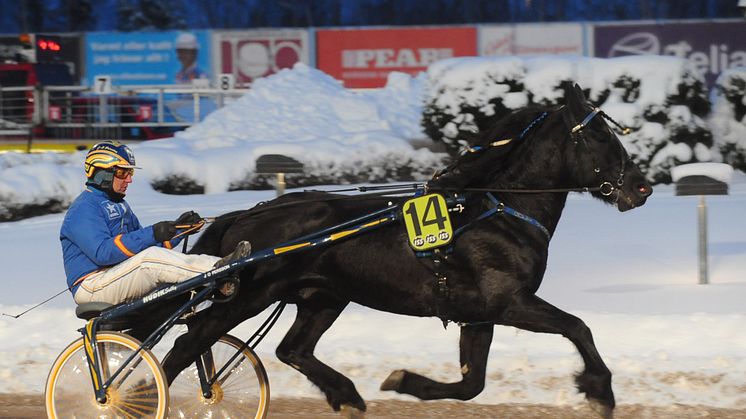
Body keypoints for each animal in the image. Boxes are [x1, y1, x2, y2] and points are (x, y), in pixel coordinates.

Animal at [160, 83, 648, 418]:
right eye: (601, 137)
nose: (641, 187)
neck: (499, 210)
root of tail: (246, 214)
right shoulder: (510, 302)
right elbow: (578, 326)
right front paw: (600, 391)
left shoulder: (478, 314)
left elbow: (471, 385)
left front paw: (403, 380)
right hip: (247, 297)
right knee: (186, 345)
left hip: (323, 297)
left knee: (292, 349)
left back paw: (346, 394)